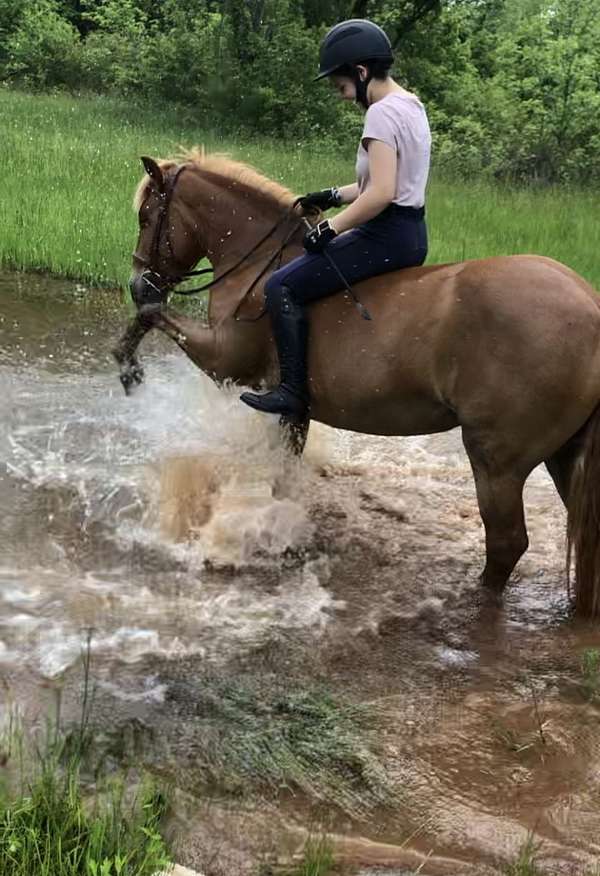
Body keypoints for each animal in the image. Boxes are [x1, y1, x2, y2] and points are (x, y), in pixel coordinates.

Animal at [115, 149, 600, 616]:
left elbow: (152, 313)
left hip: (497, 462)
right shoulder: (294, 408)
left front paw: (128, 367)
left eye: (147, 218)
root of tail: (591, 307)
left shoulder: (226, 360)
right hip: (562, 455)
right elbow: (283, 472)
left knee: (506, 543)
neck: (256, 262)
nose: (138, 281)